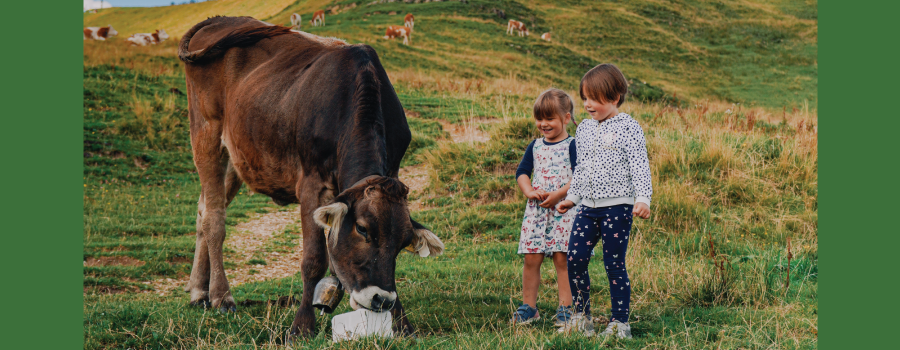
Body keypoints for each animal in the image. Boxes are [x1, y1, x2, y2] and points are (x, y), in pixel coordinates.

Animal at [176, 16, 442, 340]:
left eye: (404, 241)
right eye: (363, 229)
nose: (381, 299)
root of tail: (219, 20)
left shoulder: (391, 170)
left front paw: (401, 323)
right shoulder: (312, 183)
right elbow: (314, 259)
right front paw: (301, 325)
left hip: (238, 155)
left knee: (203, 210)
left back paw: (198, 292)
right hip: (205, 133)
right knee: (214, 218)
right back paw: (220, 296)